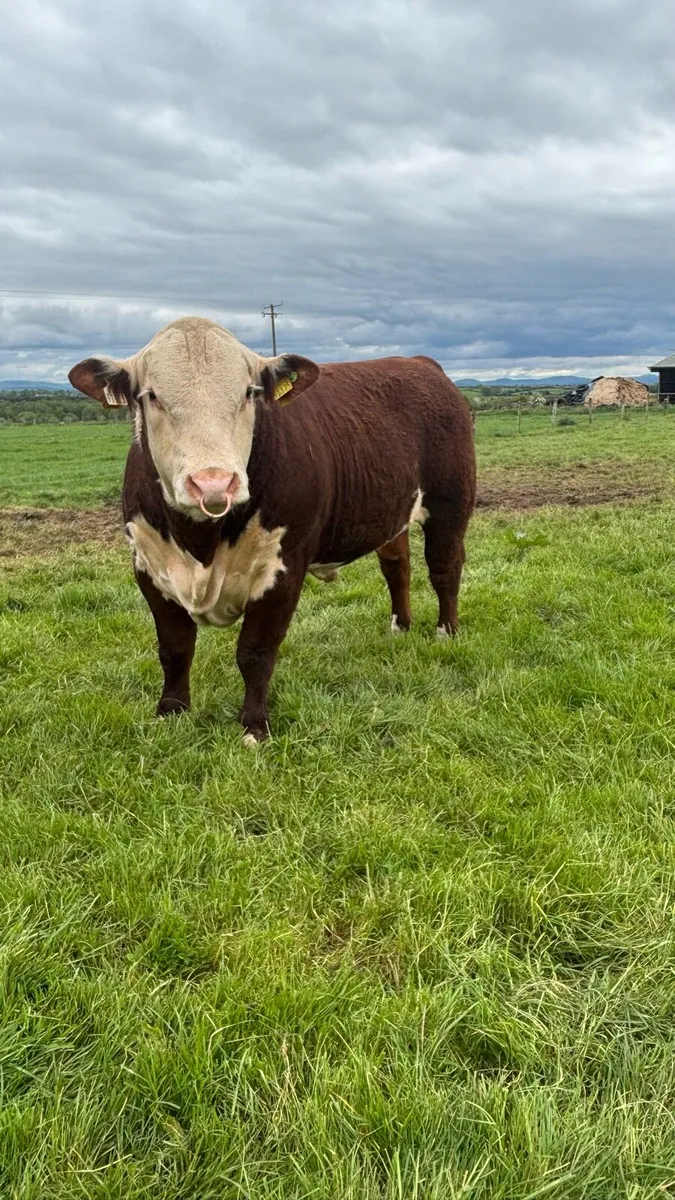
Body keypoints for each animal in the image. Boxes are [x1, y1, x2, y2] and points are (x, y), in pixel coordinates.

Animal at [69, 318, 476, 744]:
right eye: (151, 396)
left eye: (249, 393)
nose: (213, 484)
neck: (201, 541)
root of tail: (419, 362)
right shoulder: (149, 566)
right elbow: (174, 647)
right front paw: (171, 711)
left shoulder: (283, 568)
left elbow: (255, 652)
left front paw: (254, 726)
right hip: (392, 509)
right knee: (397, 566)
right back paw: (400, 626)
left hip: (451, 503)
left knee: (445, 568)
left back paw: (446, 631)